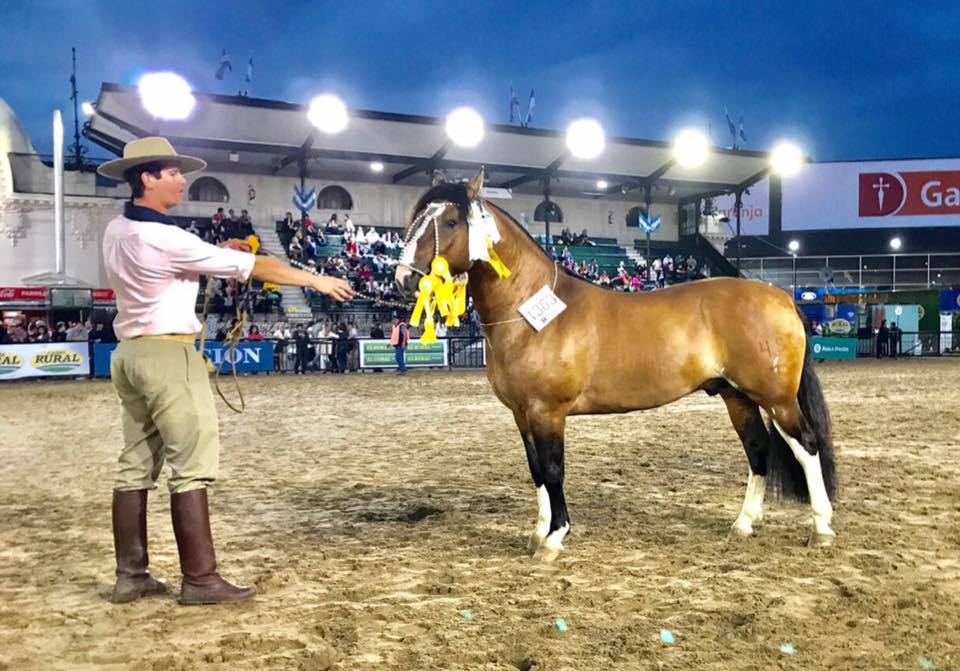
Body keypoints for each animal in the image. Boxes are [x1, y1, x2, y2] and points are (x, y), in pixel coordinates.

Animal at [394, 173, 836, 560]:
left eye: (450, 221)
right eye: (415, 218)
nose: (403, 278)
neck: (532, 311)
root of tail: (781, 296)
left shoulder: (548, 411)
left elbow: (553, 469)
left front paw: (554, 537)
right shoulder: (522, 414)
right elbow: (536, 470)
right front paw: (537, 532)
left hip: (776, 398)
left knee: (806, 446)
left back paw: (821, 528)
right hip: (737, 396)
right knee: (758, 450)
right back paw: (743, 524)